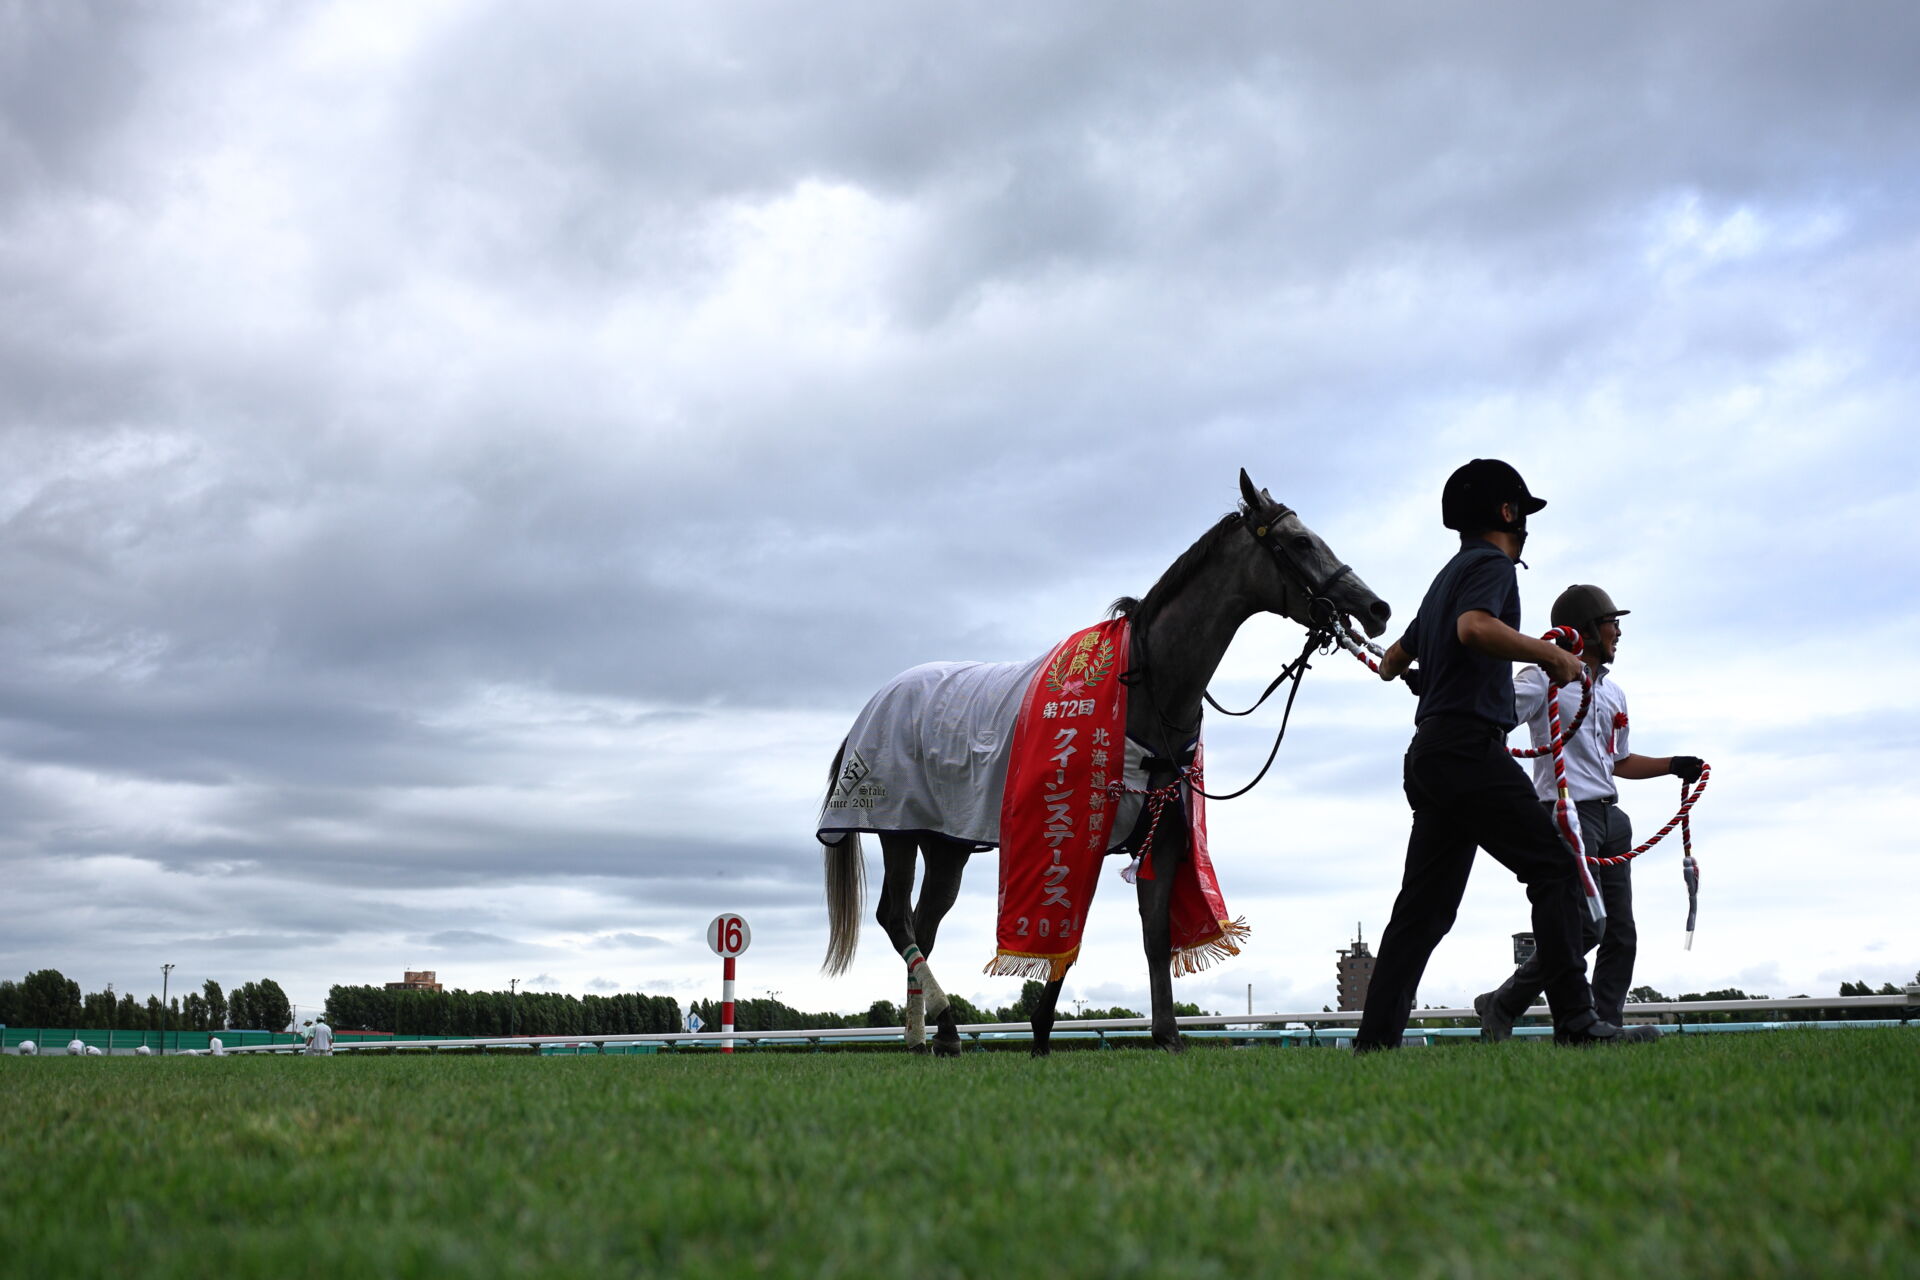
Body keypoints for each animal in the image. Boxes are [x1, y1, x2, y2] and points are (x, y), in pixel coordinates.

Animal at [817, 475, 1390, 1059]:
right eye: (1300, 542)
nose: (1377, 607)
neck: (1144, 690)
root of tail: (874, 706)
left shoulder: (1162, 837)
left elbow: (1155, 936)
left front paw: (1163, 1035)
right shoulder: (1075, 831)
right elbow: (1068, 932)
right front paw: (1042, 1033)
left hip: (946, 841)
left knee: (923, 923)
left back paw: (927, 1036)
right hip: (898, 827)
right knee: (896, 917)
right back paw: (945, 1025)